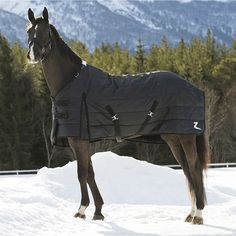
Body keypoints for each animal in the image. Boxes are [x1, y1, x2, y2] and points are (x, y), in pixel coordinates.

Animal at [26, 7, 209, 225]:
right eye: (29, 32)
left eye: (45, 32)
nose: (32, 55)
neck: (72, 82)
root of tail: (193, 88)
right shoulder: (83, 141)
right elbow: (90, 173)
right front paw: (98, 211)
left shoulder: (78, 140)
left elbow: (82, 173)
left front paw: (82, 210)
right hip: (173, 138)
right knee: (187, 170)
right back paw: (190, 213)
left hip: (186, 136)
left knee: (194, 168)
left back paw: (198, 214)